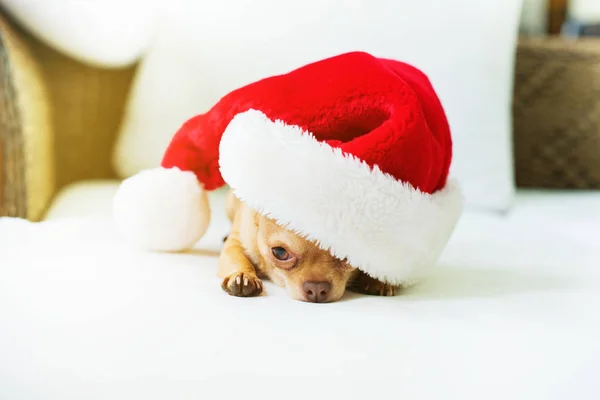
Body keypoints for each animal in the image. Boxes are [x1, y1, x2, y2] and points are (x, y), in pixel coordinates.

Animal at [217, 191, 398, 304]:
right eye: (280, 252)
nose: (316, 288)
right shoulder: (237, 241)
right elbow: (238, 258)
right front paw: (242, 277)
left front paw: (378, 279)